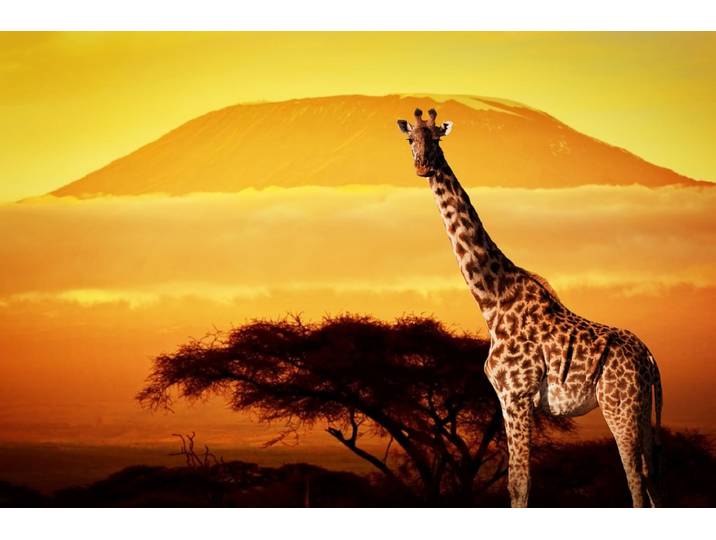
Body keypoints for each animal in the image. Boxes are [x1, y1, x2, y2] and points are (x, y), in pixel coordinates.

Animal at [396, 107, 664, 507]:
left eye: (437, 138)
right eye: (410, 138)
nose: (423, 167)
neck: (492, 300)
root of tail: (649, 358)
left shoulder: (517, 394)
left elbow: (520, 483)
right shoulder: (505, 398)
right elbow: (516, 482)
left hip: (620, 405)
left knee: (635, 480)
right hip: (642, 408)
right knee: (652, 477)